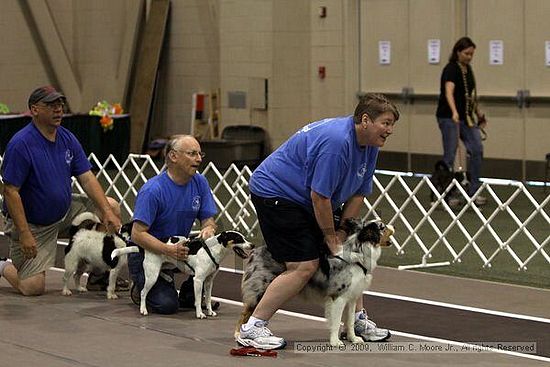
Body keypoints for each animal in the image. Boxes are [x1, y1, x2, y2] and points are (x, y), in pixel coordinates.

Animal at [112, 230, 254, 320]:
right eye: (239, 239)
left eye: (244, 237)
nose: (252, 245)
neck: (212, 250)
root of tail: (145, 248)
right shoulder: (198, 280)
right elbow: (198, 299)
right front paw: (200, 314)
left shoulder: (209, 281)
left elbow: (208, 299)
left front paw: (210, 311)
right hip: (152, 275)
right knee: (143, 292)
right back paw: (143, 309)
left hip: (167, 265)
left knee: (163, 271)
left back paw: (167, 277)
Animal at [235, 220, 394, 350]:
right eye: (383, 227)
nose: (394, 226)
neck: (358, 255)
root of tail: (256, 251)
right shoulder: (338, 297)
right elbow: (336, 321)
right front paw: (335, 342)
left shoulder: (352, 296)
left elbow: (349, 321)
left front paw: (353, 339)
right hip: (260, 290)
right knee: (244, 314)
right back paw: (240, 336)